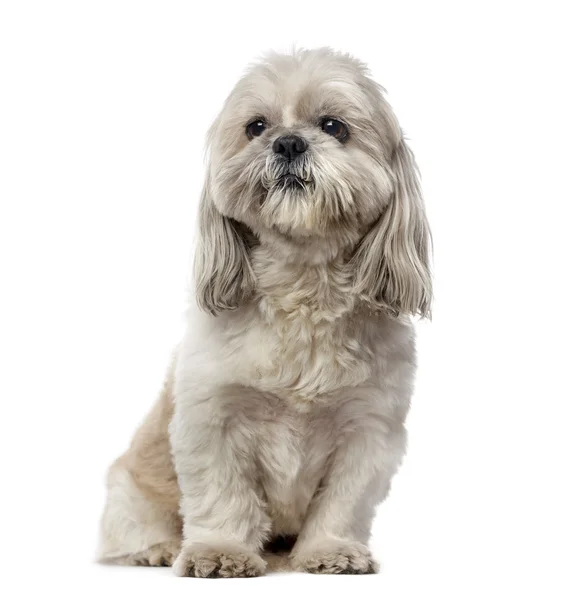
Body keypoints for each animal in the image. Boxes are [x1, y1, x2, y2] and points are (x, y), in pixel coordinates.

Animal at [96, 48, 430, 576]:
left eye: (333, 126)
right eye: (256, 126)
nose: (288, 141)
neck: (303, 290)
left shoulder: (368, 431)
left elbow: (343, 501)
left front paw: (330, 550)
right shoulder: (212, 420)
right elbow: (224, 496)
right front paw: (219, 552)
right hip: (128, 491)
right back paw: (161, 549)